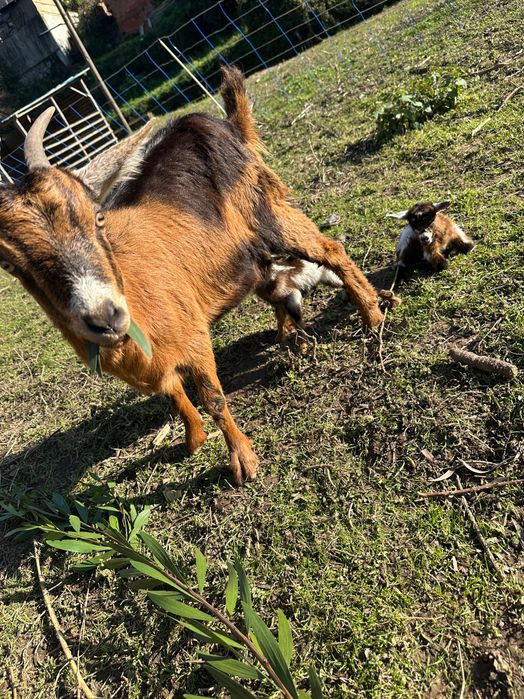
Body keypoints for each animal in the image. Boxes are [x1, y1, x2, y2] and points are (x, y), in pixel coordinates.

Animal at [0, 67, 386, 485]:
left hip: (271, 214)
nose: (106, 317)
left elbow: (211, 397)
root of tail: (226, 124)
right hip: (252, 255)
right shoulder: (155, 361)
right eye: (11, 265)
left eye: (98, 218)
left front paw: (243, 460)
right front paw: (193, 440)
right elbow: (173, 394)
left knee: (331, 250)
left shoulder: (193, 333)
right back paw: (289, 334)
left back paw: (372, 315)